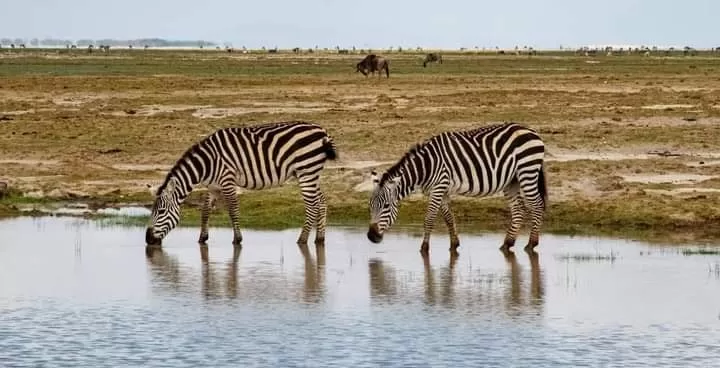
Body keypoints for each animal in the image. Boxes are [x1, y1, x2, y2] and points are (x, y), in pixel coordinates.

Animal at [146, 121, 340, 250]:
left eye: (161, 212)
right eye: (152, 211)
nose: (148, 240)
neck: (206, 164)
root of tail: (323, 132)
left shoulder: (227, 181)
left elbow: (233, 210)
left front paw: (237, 239)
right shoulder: (213, 186)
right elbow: (205, 211)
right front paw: (202, 238)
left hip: (307, 171)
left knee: (312, 205)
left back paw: (302, 239)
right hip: (310, 173)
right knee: (321, 201)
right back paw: (319, 238)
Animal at [368, 122, 548, 254]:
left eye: (386, 206)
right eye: (370, 206)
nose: (371, 237)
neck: (426, 167)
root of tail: (530, 130)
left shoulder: (439, 187)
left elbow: (429, 219)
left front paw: (424, 248)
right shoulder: (442, 190)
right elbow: (448, 217)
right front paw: (454, 244)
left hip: (527, 171)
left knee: (537, 205)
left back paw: (531, 244)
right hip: (512, 180)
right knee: (518, 209)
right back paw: (507, 244)